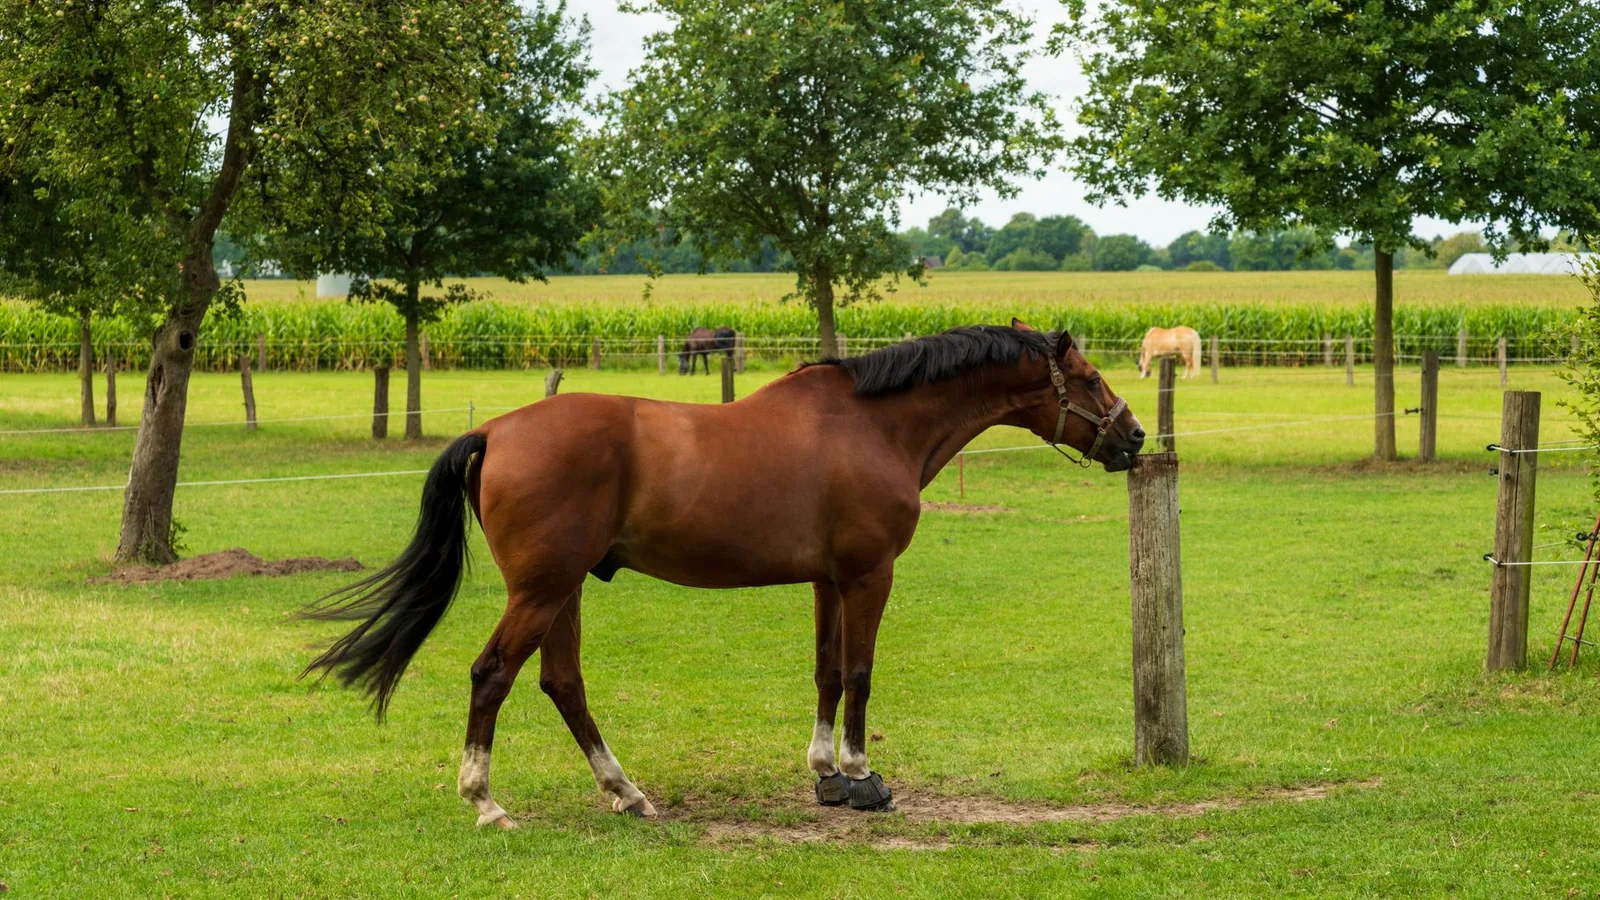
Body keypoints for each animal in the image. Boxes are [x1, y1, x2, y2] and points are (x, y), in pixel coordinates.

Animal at [302, 320, 1144, 828]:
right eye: (1090, 378)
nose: (1134, 436)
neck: (874, 425)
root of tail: (496, 431)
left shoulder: (827, 581)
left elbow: (827, 672)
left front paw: (825, 776)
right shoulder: (868, 576)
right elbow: (861, 673)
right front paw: (864, 778)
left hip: (563, 592)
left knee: (561, 684)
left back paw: (625, 792)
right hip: (540, 592)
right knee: (493, 674)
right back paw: (485, 801)